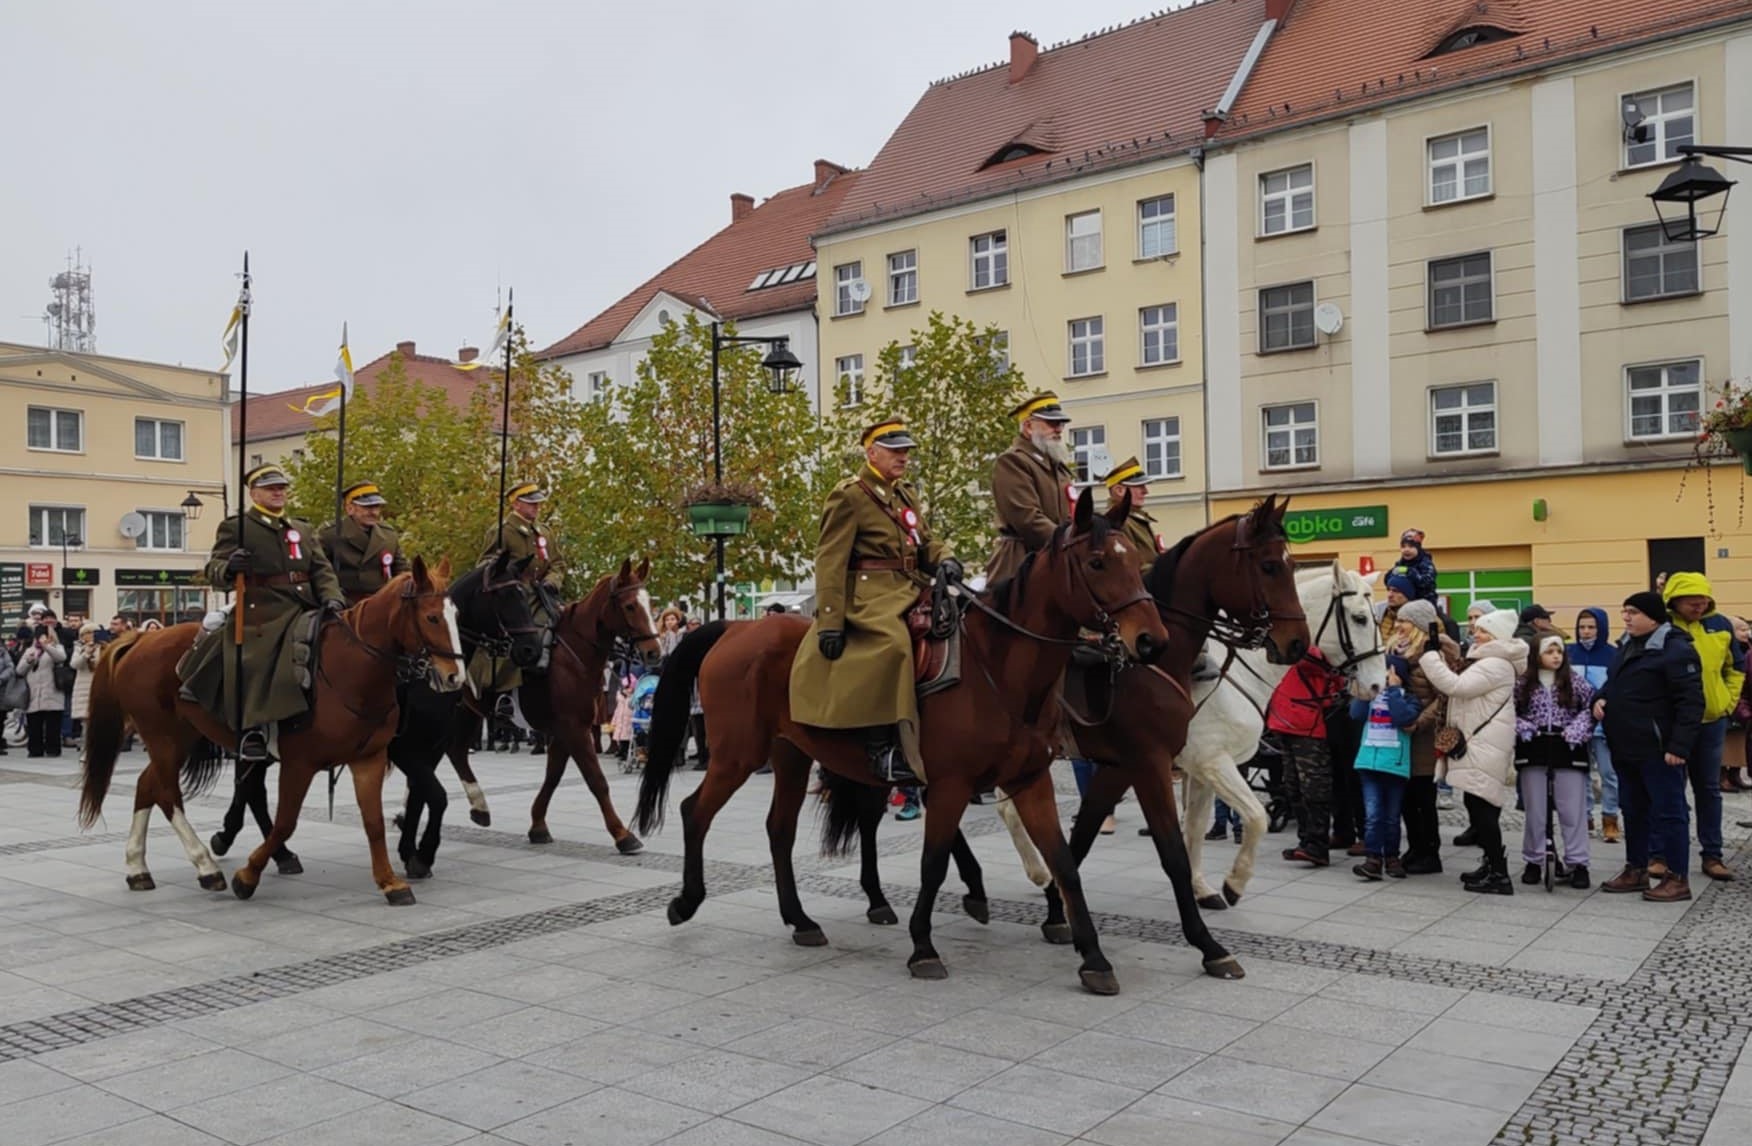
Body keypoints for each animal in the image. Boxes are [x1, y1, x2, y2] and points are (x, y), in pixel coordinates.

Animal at [79, 560, 469, 911]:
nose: (455, 677)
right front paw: (247, 876)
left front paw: (390, 882)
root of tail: (139, 638)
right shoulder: (300, 763)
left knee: (147, 785)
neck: (351, 669)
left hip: (180, 738)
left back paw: (138, 868)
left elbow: (374, 822)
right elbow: (285, 822)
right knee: (167, 793)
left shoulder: (369, 758)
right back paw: (207, 867)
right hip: (164, 737)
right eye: (432, 618)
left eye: (456, 615)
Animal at [445, 560, 662, 858]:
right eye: (630, 606)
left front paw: (538, 825)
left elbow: (553, 777)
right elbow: (596, 780)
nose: (655, 652)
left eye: (649, 603)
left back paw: (476, 808)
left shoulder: (565, 730)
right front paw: (623, 835)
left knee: (455, 752)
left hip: (468, 711)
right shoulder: (573, 729)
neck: (574, 654)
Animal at [637, 494, 1170, 995]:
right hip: (737, 755)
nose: (1151, 641)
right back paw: (686, 901)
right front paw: (923, 947)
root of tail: (737, 627)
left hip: (790, 755)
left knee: (779, 829)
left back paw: (801, 920)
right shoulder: (952, 783)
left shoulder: (1029, 780)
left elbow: (1064, 863)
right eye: (1098, 562)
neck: (997, 666)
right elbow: (932, 863)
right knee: (695, 811)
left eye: (1133, 559)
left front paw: (1093, 957)